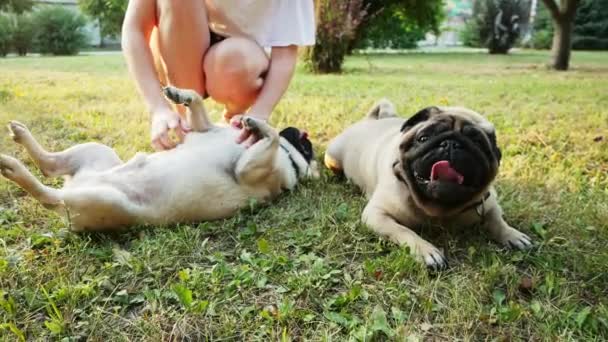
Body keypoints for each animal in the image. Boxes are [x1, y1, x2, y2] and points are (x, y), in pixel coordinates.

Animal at [0, 85, 320, 231]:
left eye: (306, 147)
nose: (300, 132)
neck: (288, 160)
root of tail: (77, 186)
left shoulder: (248, 171)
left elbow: (272, 138)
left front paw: (259, 126)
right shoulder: (201, 129)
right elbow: (198, 103)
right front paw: (182, 95)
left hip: (103, 200)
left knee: (48, 195)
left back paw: (13, 168)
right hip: (95, 152)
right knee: (49, 165)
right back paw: (21, 139)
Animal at [326, 100, 528, 268]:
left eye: (478, 143)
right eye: (423, 138)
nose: (451, 144)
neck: (438, 209)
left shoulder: (488, 202)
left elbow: (497, 220)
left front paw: (512, 235)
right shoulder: (376, 215)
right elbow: (403, 230)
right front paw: (426, 251)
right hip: (332, 159)